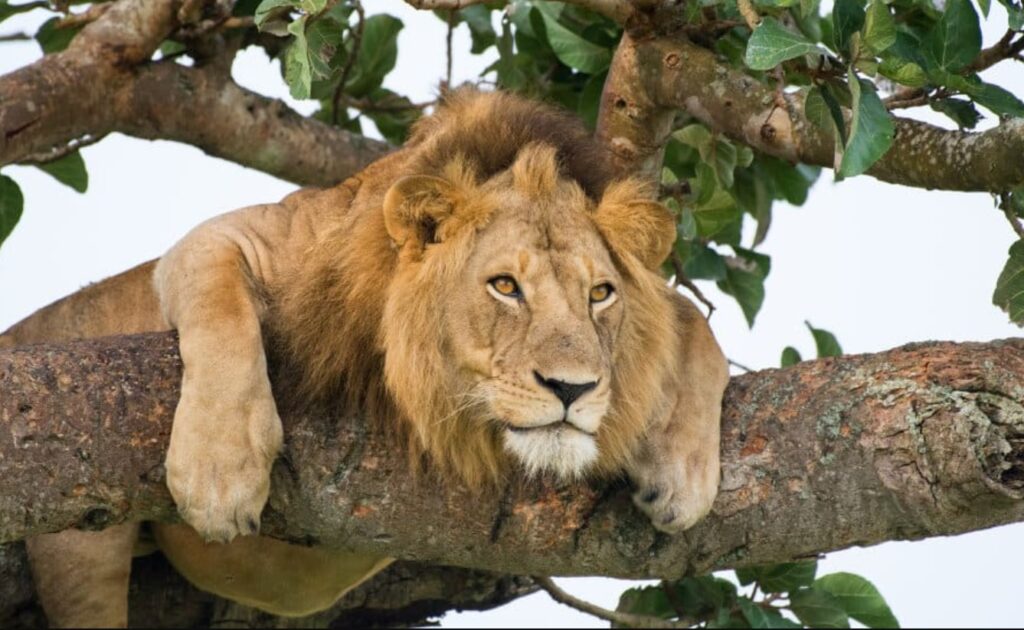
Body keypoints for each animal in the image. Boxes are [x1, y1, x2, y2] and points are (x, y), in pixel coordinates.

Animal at [1, 89, 729, 627]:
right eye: (504, 286)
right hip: (79, 553)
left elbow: (693, 321)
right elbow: (219, 309)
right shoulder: (231, 239)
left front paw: (682, 474)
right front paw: (219, 474)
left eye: (600, 294)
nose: (572, 388)